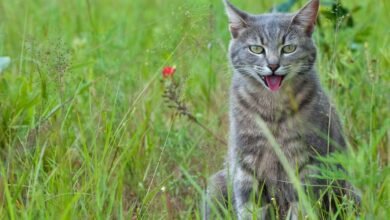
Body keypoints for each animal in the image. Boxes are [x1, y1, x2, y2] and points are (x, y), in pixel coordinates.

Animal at [203, 0, 354, 219]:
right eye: (256, 49)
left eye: (289, 48)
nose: (273, 65)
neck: (272, 107)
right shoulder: (246, 165)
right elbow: (249, 209)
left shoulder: (307, 164)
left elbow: (302, 208)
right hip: (216, 185)